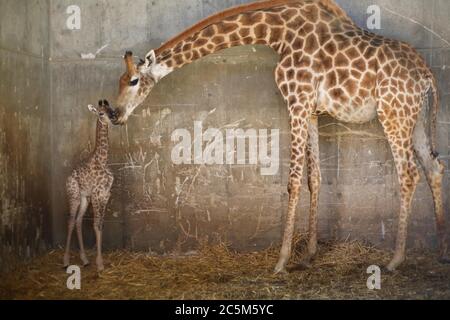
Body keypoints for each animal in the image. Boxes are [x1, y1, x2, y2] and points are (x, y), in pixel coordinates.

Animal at [64, 99, 115, 270]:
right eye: (101, 113)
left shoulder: (106, 195)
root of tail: (66, 178)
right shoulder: (97, 195)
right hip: (74, 195)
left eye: (112, 110)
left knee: (78, 221)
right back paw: (66, 260)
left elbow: (100, 225)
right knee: (71, 221)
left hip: (84, 198)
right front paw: (99, 264)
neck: (102, 160)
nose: (114, 119)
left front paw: (98, 261)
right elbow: (95, 225)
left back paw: (85, 259)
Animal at [110, 0, 450, 272]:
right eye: (120, 80)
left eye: (134, 81)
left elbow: (293, 181)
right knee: (434, 166)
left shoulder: (297, 103)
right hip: (417, 118)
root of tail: (427, 76)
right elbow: (315, 178)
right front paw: (309, 255)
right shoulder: (311, 111)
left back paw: (395, 260)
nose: (114, 114)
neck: (278, 33)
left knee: (408, 173)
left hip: (393, 114)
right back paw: (441, 251)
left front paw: (282, 260)